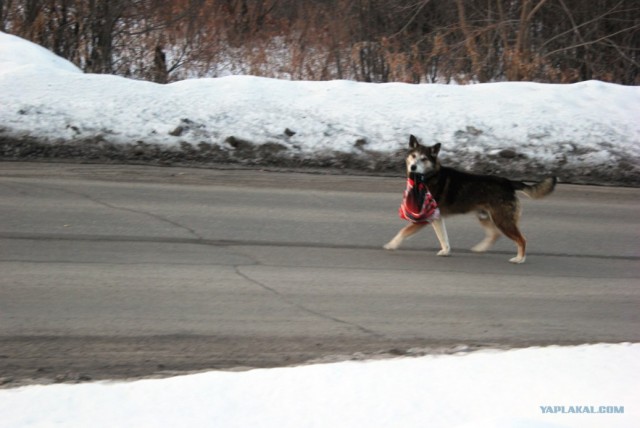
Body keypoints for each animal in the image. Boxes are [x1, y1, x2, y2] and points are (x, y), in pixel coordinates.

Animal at [382, 135, 556, 262]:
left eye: (424, 158)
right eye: (413, 156)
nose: (413, 167)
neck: (427, 177)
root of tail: (508, 182)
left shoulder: (425, 217)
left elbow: (403, 231)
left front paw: (391, 244)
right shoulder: (436, 218)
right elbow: (443, 238)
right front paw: (445, 251)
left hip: (503, 220)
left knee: (522, 239)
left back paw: (519, 259)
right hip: (485, 216)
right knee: (495, 234)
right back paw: (480, 249)